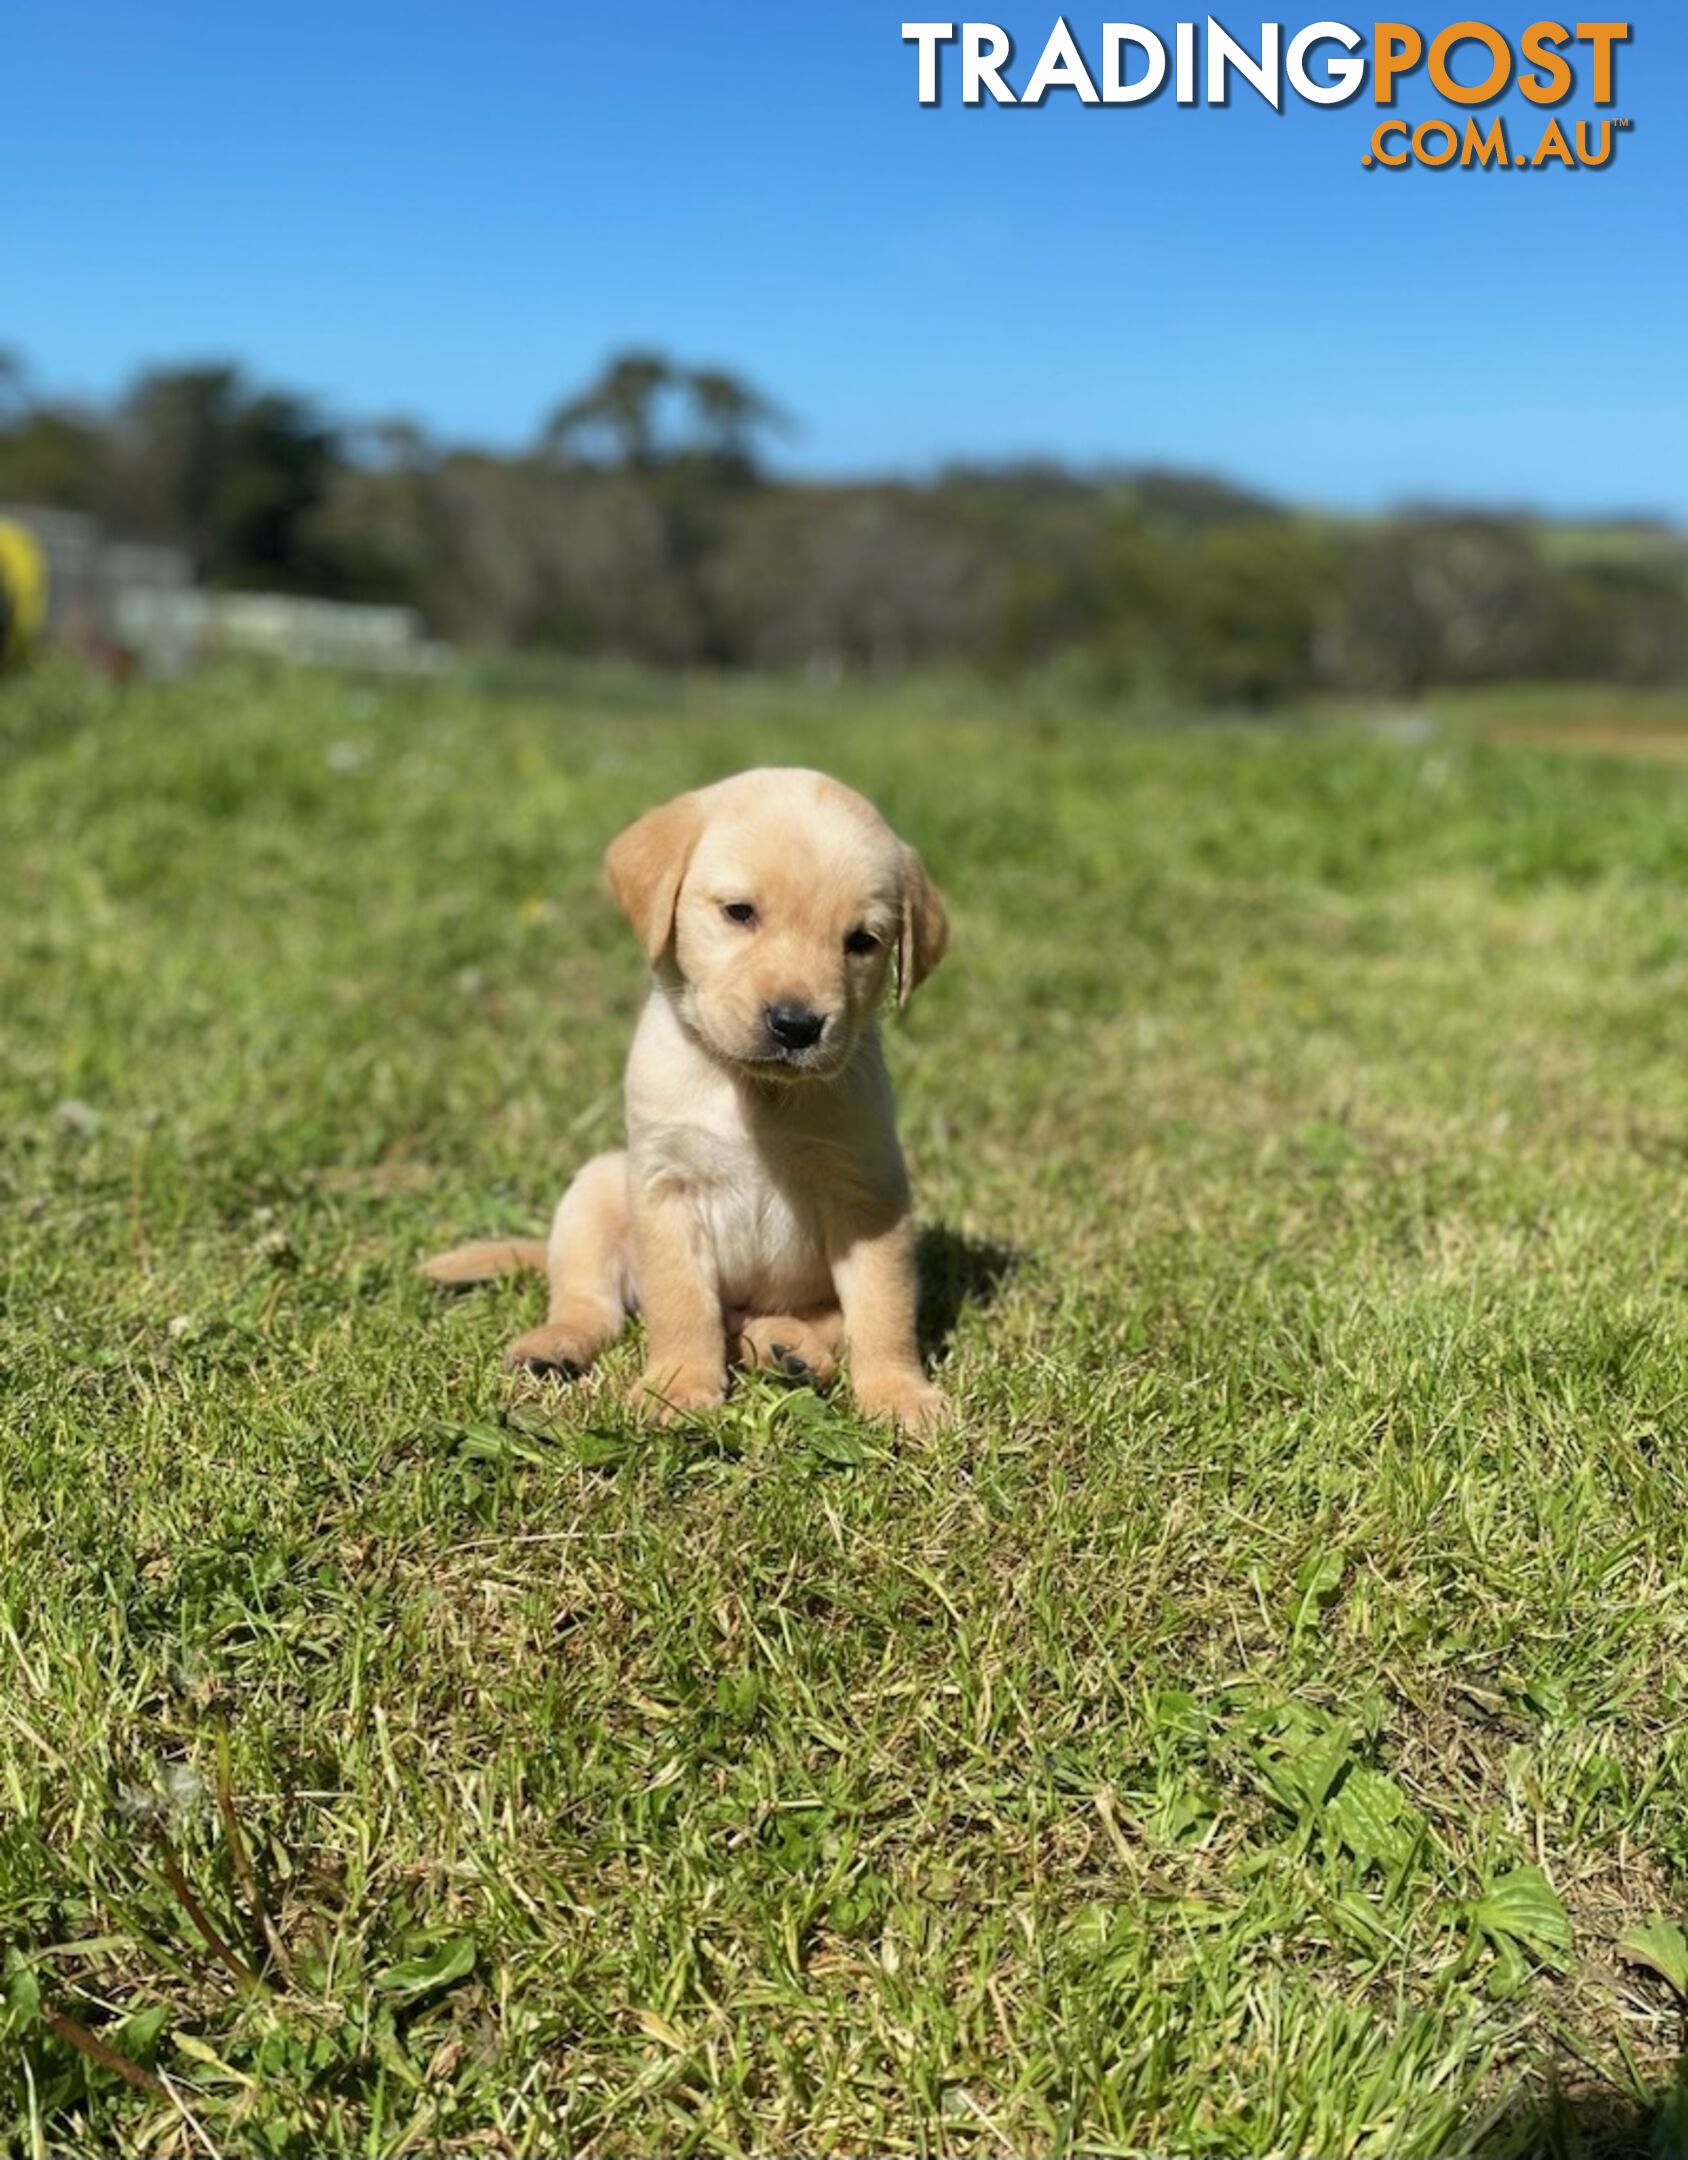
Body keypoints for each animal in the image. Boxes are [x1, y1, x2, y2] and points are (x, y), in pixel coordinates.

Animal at [421, 768, 946, 1425]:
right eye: (739, 912)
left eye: (862, 941)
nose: (797, 1025)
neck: (755, 1092)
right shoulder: (666, 1186)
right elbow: (681, 1304)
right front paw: (677, 1387)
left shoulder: (870, 1196)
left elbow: (883, 1310)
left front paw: (899, 1394)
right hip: (597, 1188)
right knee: (592, 1305)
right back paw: (554, 1346)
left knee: (801, 1324)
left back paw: (788, 1349)